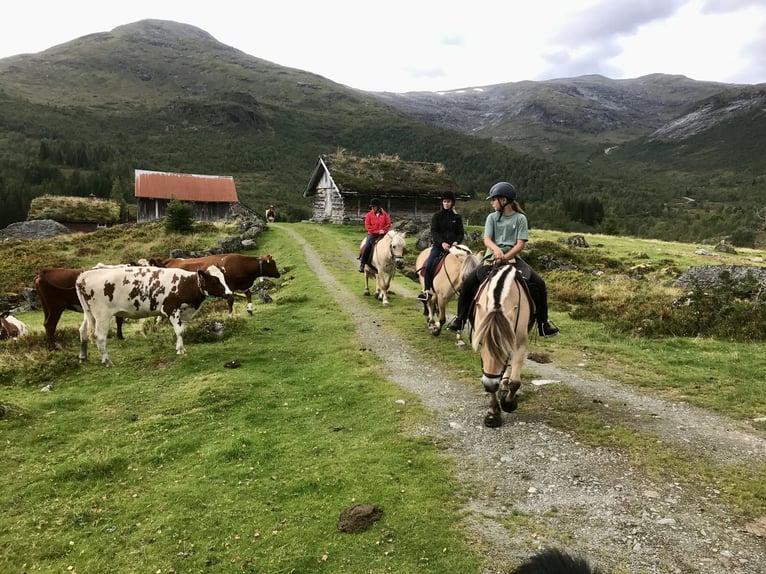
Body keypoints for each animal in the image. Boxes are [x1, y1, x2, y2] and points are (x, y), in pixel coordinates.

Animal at [75, 266, 232, 366]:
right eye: (215, 280)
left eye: (224, 278)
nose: (229, 293)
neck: (184, 283)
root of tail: (84, 276)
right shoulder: (171, 309)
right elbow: (180, 331)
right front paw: (181, 350)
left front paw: (180, 348)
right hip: (102, 315)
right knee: (99, 337)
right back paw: (107, 361)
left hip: (89, 314)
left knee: (83, 331)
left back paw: (84, 357)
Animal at [468, 264, 536, 430]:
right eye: (481, 344)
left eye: (504, 346)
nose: (489, 384)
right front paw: (493, 413)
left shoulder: (520, 344)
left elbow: (515, 382)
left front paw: (509, 404)